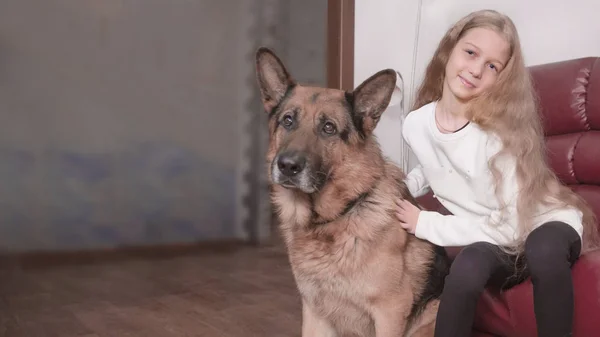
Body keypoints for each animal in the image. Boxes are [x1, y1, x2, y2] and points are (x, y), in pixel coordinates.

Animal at [254, 46, 450, 334]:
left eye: (328, 128)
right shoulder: (314, 313)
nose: (287, 166)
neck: (333, 218)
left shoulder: (390, 313)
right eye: (288, 121)